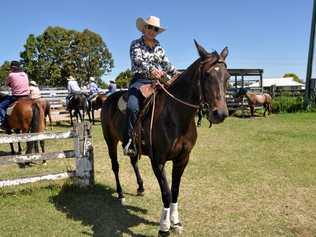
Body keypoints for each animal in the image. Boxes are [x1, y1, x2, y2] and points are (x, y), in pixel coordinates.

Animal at [101, 41, 230, 235]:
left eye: (227, 77)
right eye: (207, 74)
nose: (220, 113)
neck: (175, 115)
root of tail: (107, 99)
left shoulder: (182, 159)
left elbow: (175, 190)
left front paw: (176, 222)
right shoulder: (158, 161)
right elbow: (166, 192)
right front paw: (164, 226)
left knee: (134, 162)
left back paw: (140, 187)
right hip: (110, 140)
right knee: (115, 166)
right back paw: (121, 194)